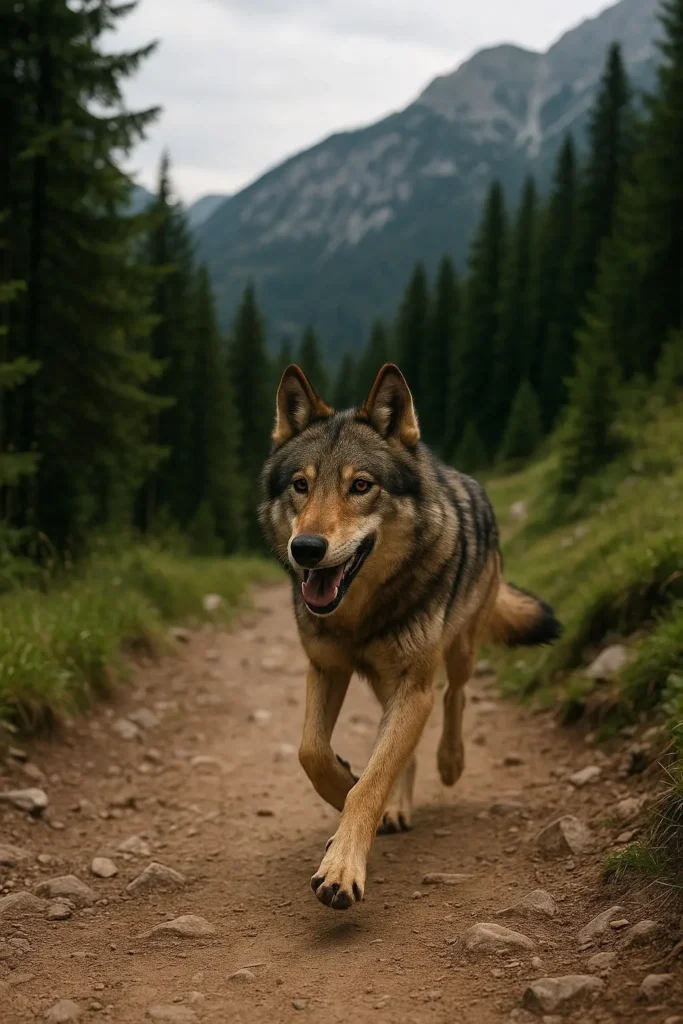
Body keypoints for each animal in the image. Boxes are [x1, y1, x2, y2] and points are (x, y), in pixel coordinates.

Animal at [259, 363, 561, 911]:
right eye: (300, 485)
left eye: (361, 486)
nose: (306, 548)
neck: (360, 614)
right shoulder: (327, 667)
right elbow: (314, 752)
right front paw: (345, 785)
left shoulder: (413, 686)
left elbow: (373, 779)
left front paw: (342, 866)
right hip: (386, 683)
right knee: (402, 743)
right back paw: (398, 805)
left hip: (457, 651)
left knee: (455, 696)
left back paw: (451, 761)